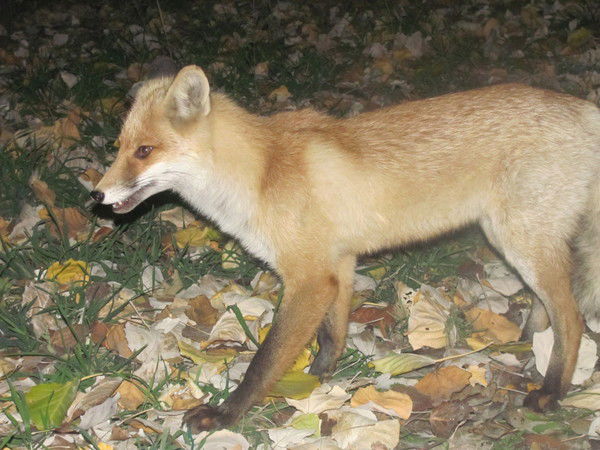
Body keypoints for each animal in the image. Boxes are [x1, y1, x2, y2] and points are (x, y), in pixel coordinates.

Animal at [90, 65, 600, 430]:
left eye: (144, 152)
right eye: (120, 147)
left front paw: (226, 415)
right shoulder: (338, 263)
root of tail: (583, 108)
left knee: (572, 317)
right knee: (549, 308)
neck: (261, 174)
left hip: (519, 239)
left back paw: (552, 391)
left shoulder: (309, 278)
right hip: (517, 241)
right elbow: (331, 335)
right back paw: (529, 341)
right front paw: (315, 379)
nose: (95, 195)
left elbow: (264, 361)